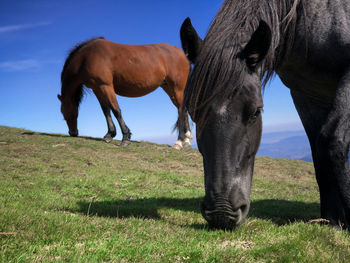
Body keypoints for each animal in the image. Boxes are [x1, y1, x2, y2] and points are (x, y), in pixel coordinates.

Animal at [58, 37, 193, 148]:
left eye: (65, 112)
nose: (73, 132)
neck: (87, 57)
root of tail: (183, 54)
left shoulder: (106, 86)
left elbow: (116, 110)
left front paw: (125, 138)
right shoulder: (97, 88)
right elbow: (105, 110)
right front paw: (109, 134)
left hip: (177, 87)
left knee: (181, 109)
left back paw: (179, 141)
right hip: (169, 88)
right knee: (182, 109)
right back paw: (187, 139)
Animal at [179, 0, 350, 230]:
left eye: (256, 112)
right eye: (193, 112)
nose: (221, 213)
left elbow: (333, 141)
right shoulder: (305, 95)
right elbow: (318, 152)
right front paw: (331, 220)